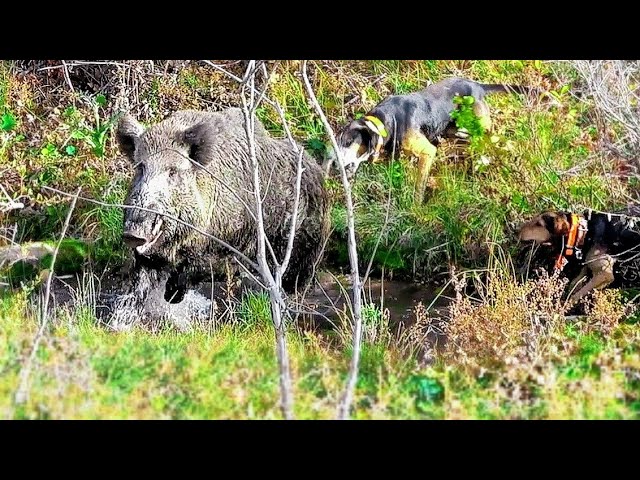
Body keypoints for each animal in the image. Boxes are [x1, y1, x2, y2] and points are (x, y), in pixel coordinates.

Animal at [338, 76, 528, 202]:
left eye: (348, 142)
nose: (335, 165)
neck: (387, 120)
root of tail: (477, 86)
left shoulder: (428, 151)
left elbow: (419, 185)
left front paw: (416, 206)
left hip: (481, 127)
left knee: (498, 140)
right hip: (454, 130)